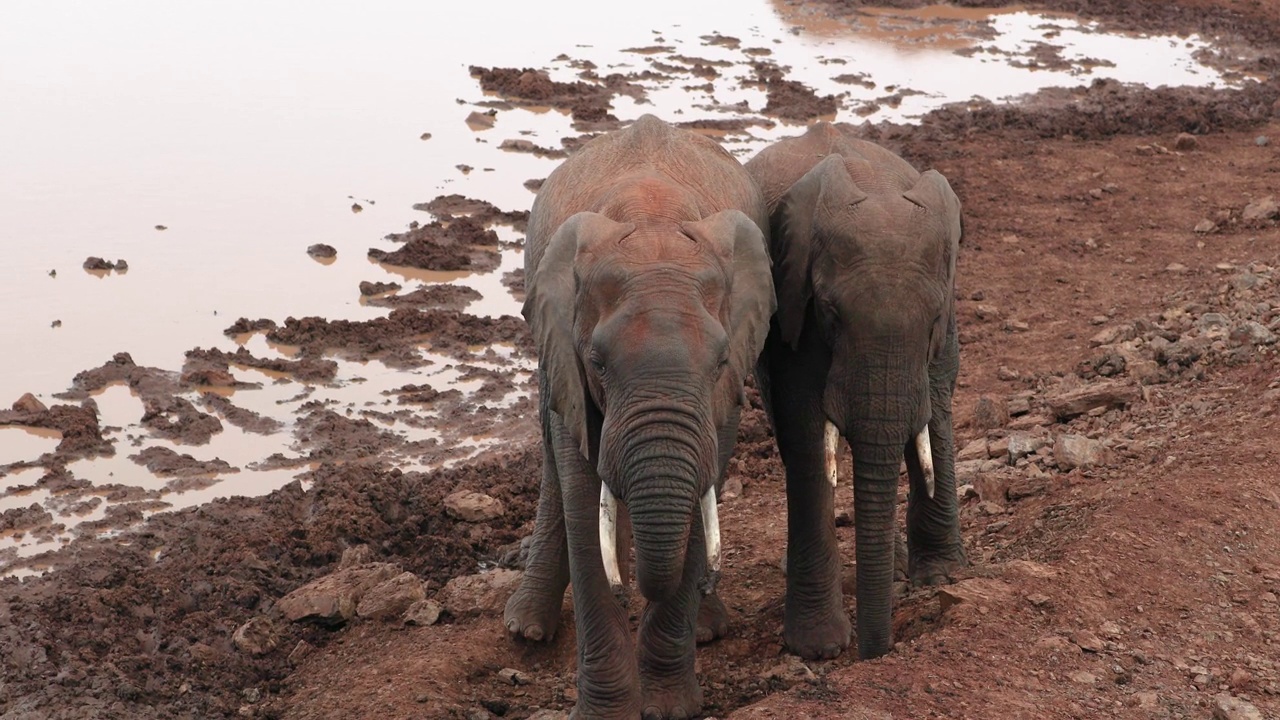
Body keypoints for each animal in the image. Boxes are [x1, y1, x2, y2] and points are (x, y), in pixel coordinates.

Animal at [504, 114, 773, 712]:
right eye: (598, 363)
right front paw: (606, 712)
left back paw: (707, 628)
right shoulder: (565, 348)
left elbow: (703, 489)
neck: (653, 219)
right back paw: (524, 629)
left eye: (722, 361)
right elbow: (583, 499)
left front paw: (669, 708)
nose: (632, 588)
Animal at [747, 121, 962, 661]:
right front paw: (819, 647)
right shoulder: (794, 303)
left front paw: (942, 578)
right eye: (831, 314)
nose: (876, 653)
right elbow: (804, 426)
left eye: (932, 318)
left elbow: (934, 402)